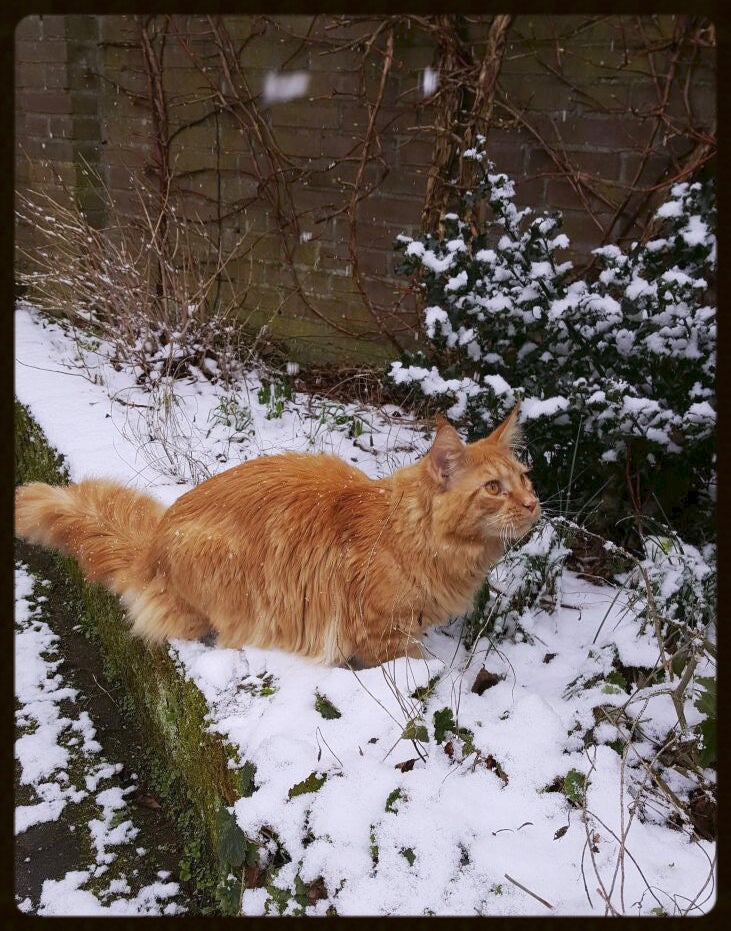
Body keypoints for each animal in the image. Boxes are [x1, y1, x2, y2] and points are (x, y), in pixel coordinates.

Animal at [15, 405, 539, 667]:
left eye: (525, 478)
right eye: (494, 489)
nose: (534, 505)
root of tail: (156, 544)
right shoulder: (381, 630)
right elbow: (408, 663)